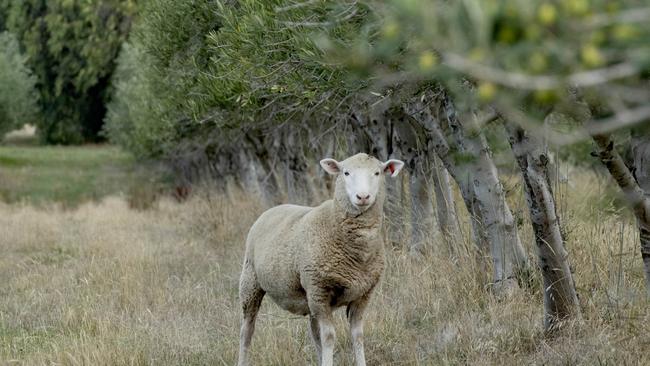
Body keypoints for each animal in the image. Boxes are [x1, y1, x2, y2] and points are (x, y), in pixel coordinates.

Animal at [235, 152, 402, 366]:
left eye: (377, 173)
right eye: (345, 173)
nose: (363, 197)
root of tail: (273, 209)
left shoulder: (363, 295)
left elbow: (357, 336)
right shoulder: (320, 290)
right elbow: (329, 337)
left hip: (308, 297)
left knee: (314, 334)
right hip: (251, 283)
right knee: (246, 331)